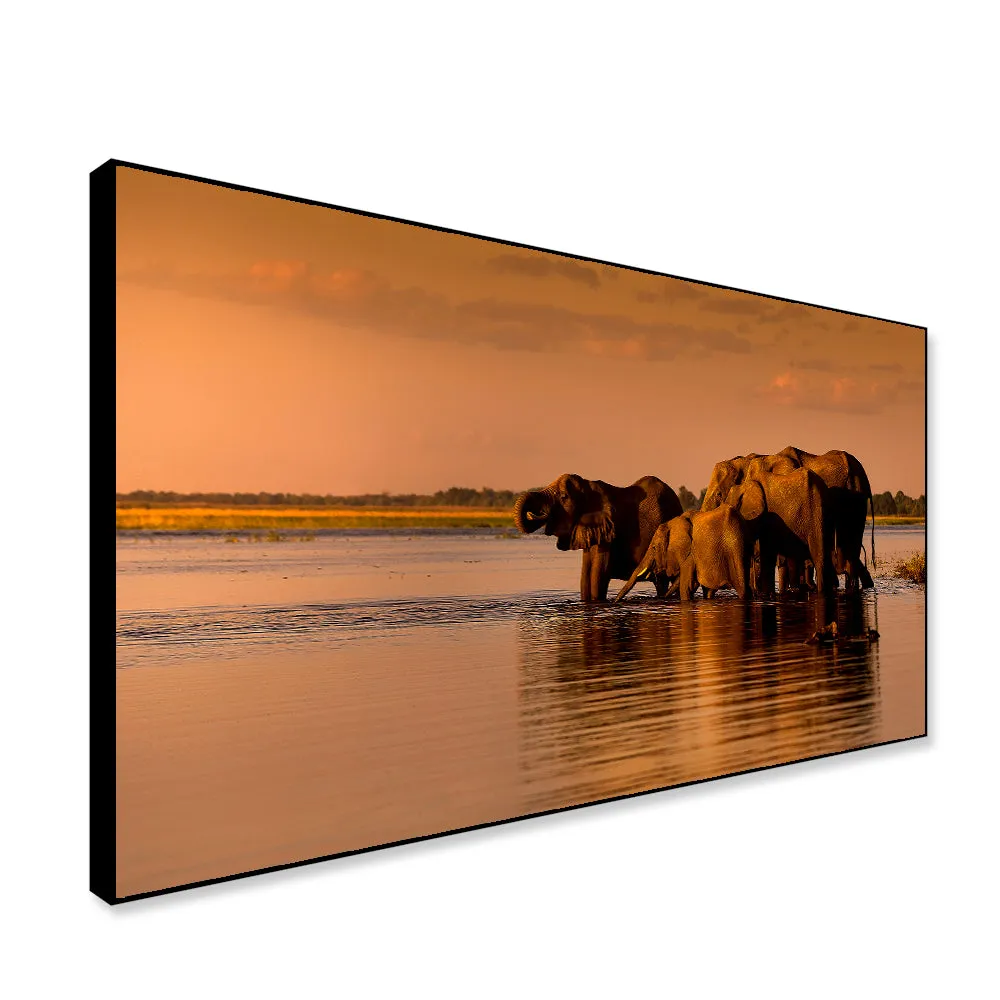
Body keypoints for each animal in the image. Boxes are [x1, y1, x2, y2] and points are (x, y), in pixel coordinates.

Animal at [513, 474, 682, 602]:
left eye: (563, 496)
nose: (540, 513)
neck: (589, 487)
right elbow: (586, 578)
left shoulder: (609, 532)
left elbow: (597, 576)